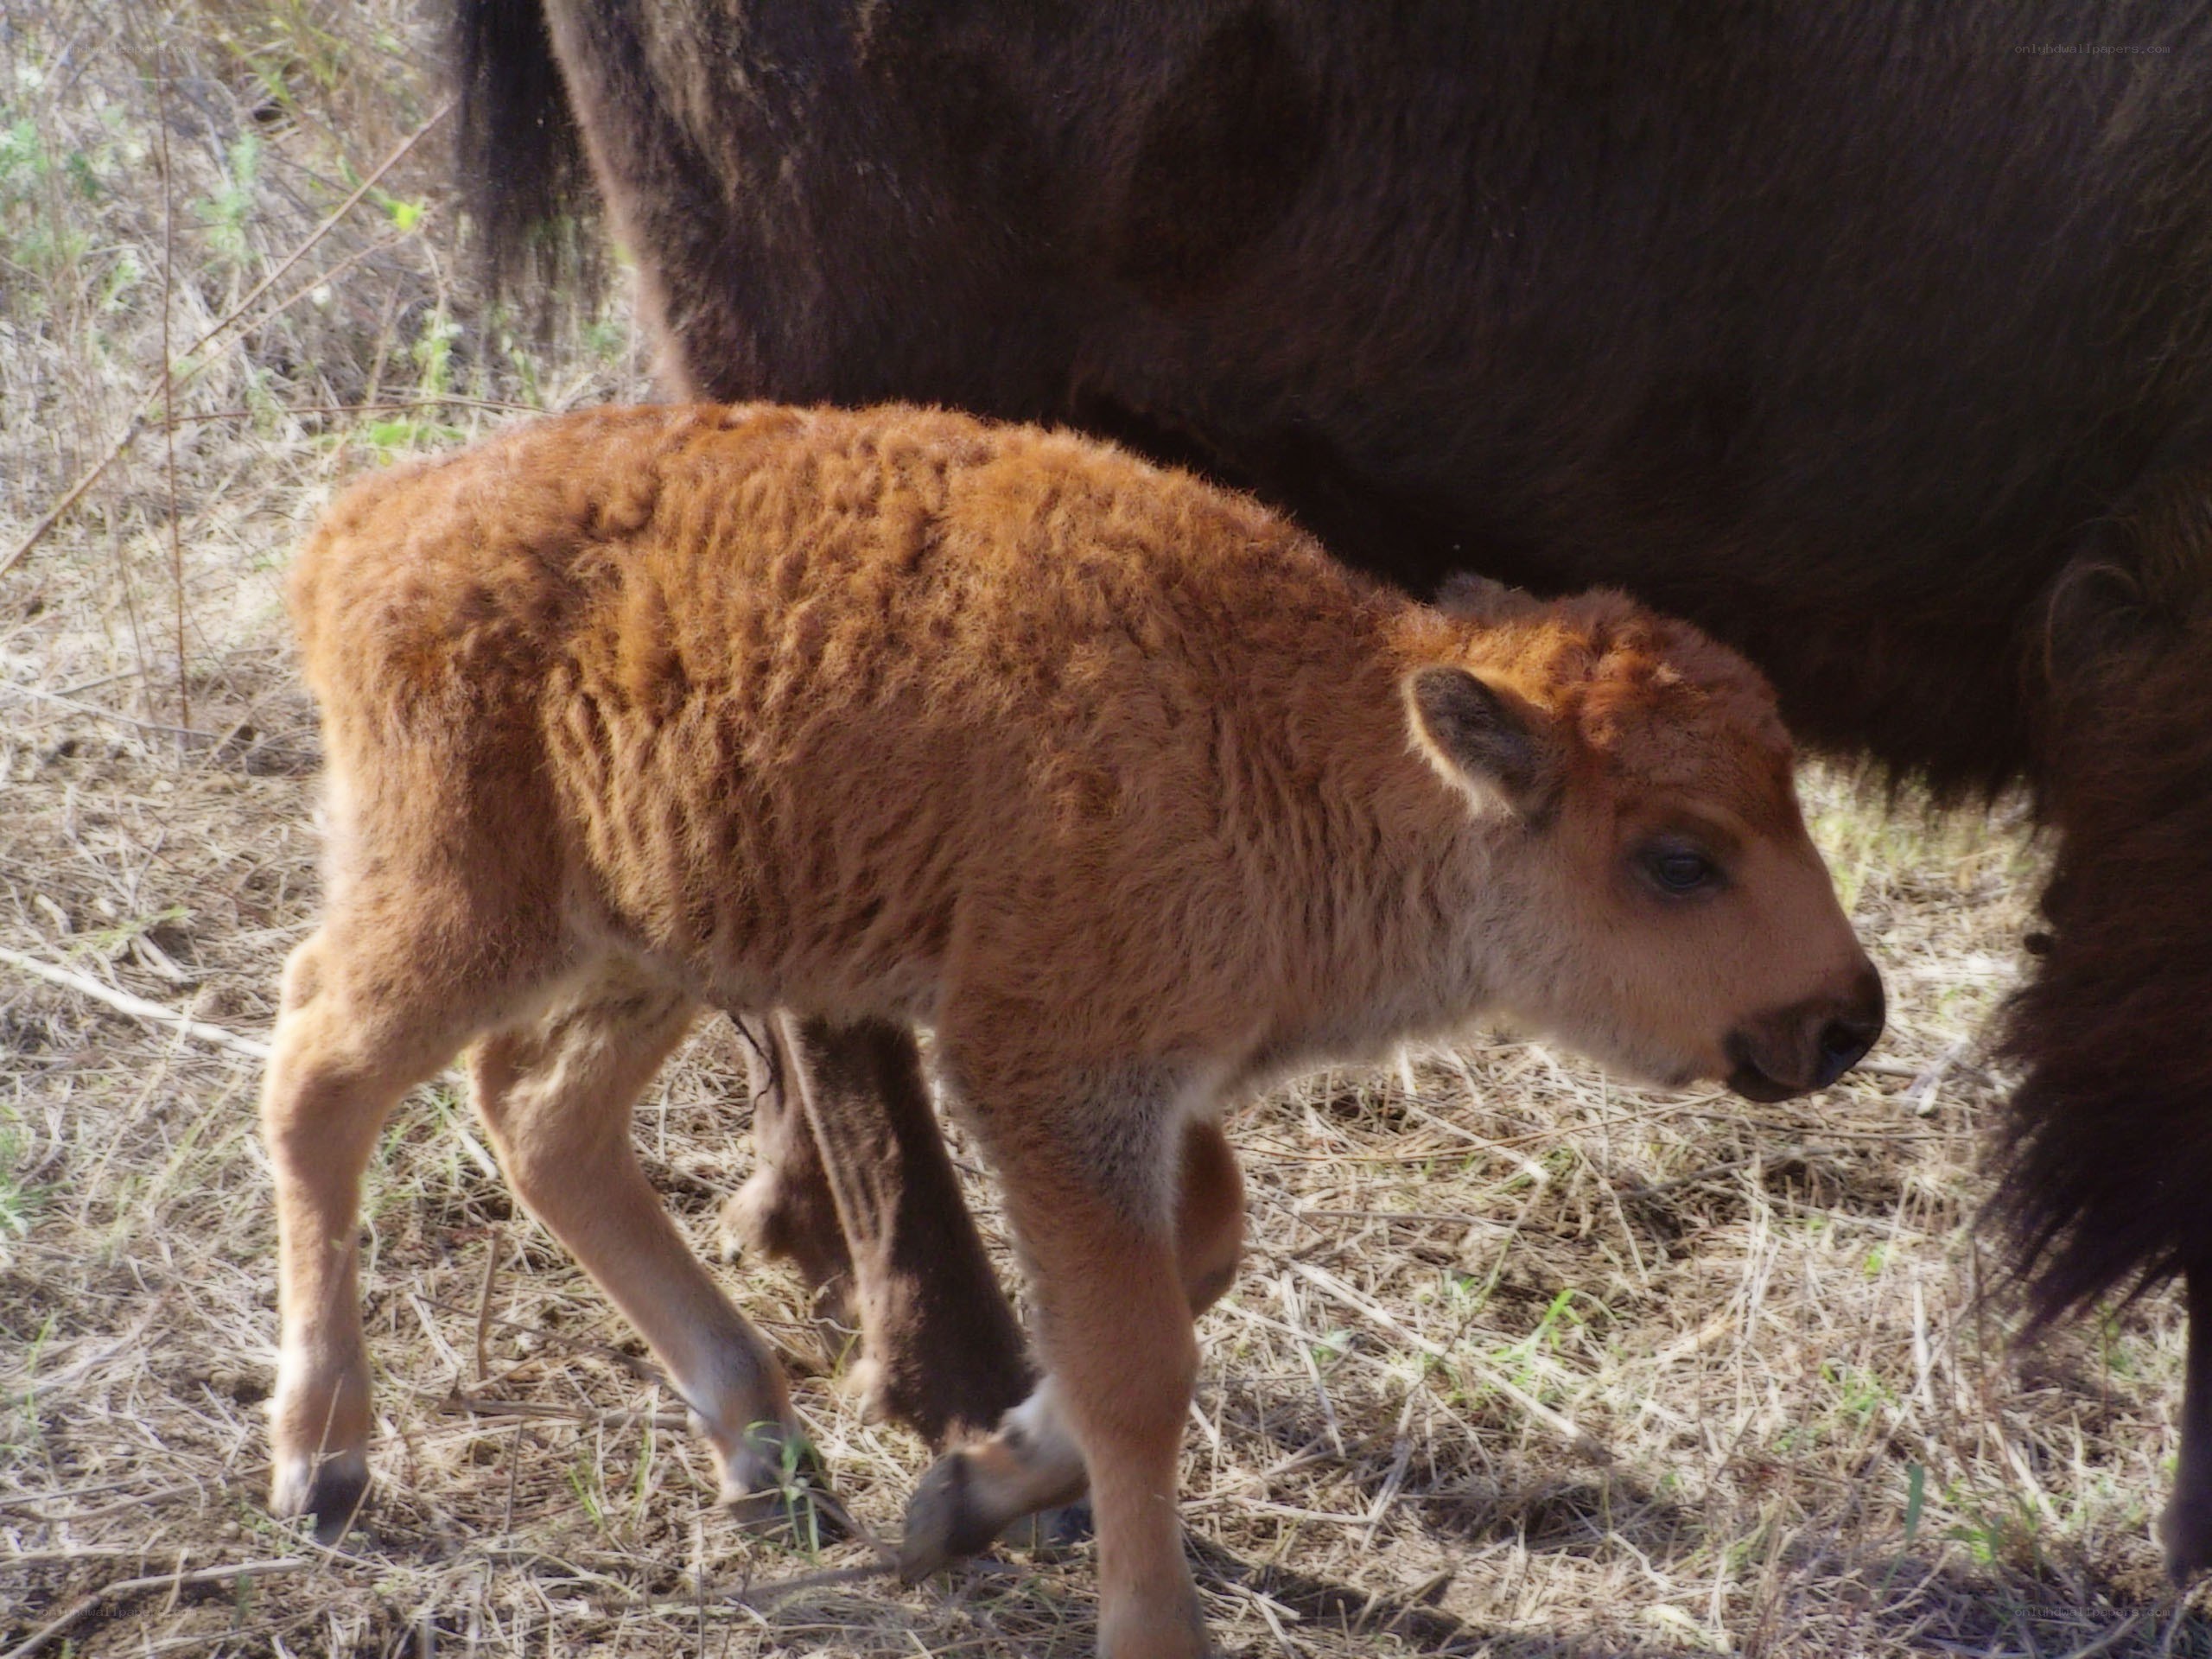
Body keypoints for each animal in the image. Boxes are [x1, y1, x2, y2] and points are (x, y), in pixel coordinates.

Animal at [264, 402, 1879, 1658]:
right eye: (1679, 859)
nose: (1846, 1021)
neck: (1297, 729)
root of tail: (361, 527)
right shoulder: (1055, 1074)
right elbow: (1140, 1366)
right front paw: (1142, 1620)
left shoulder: (1158, 1092)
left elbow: (1197, 1257)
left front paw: (962, 1495)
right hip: (466, 905)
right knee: (321, 1078)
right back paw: (326, 1464)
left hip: (657, 935)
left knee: (545, 1120)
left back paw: (768, 1452)